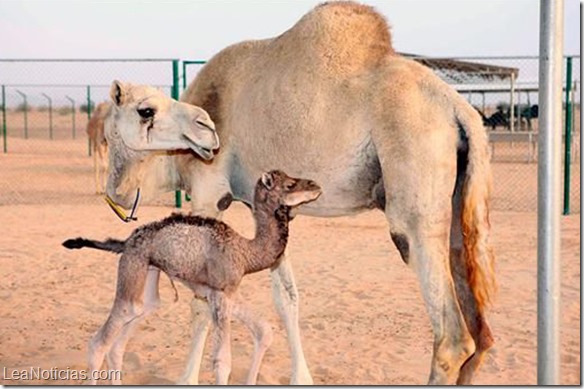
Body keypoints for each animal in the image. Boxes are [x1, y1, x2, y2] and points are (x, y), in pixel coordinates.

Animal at [102, 2, 496, 384]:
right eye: (146, 109)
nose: (208, 132)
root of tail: (459, 109)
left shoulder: (207, 193)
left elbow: (201, 299)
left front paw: (187, 377)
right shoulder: (259, 204)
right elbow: (286, 296)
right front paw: (300, 376)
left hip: (413, 198)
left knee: (453, 338)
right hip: (457, 205)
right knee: (480, 333)